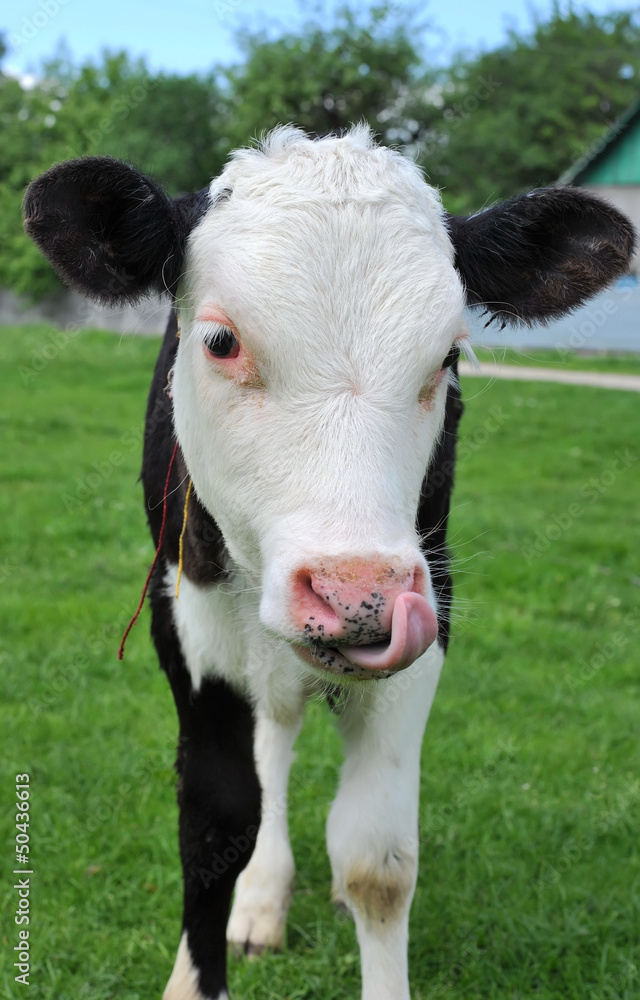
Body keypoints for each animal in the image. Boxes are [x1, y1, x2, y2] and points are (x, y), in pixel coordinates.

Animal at [23, 126, 635, 1000]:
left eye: (448, 357)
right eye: (221, 340)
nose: (357, 596)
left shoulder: (429, 616)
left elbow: (377, 860)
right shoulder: (189, 625)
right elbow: (215, 826)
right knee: (270, 744)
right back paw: (259, 899)